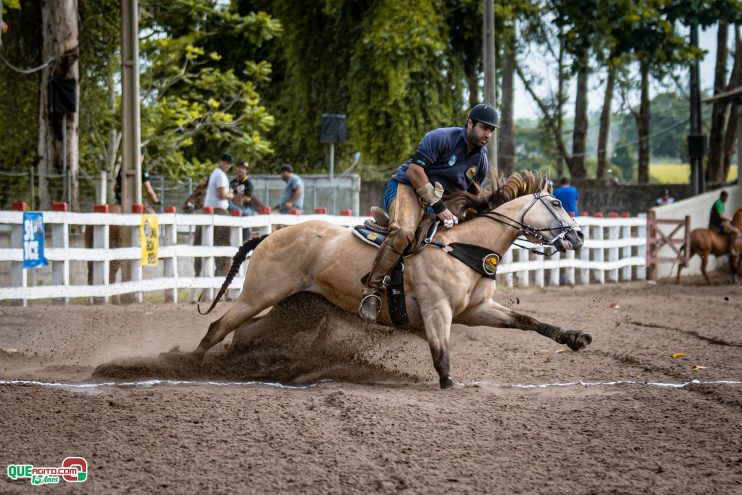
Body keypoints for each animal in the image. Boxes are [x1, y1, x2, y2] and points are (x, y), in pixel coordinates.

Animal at [189, 172, 588, 390]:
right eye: (556, 202)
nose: (579, 235)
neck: (464, 247)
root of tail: (270, 235)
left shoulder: (477, 309)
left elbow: (528, 321)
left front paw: (575, 338)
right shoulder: (437, 311)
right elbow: (441, 353)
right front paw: (448, 384)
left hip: (296, 308)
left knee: (244, 333)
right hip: (257, 295)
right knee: (217, 327)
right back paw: (190, 366)